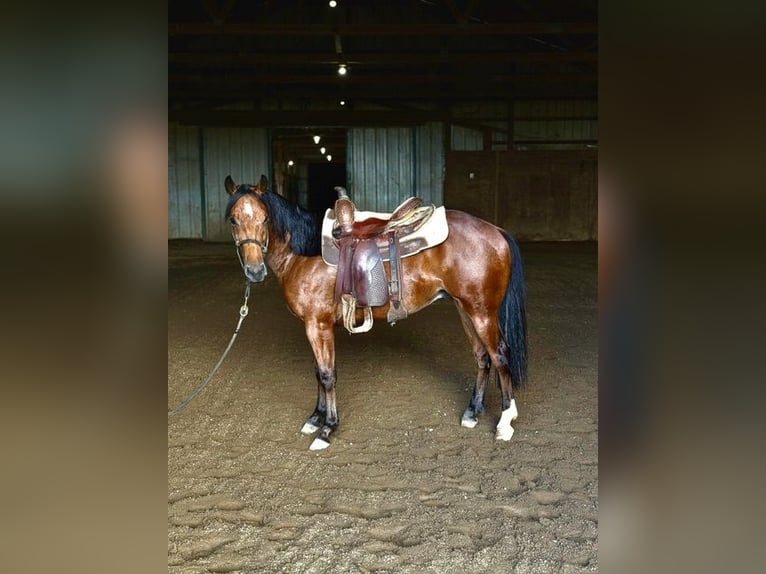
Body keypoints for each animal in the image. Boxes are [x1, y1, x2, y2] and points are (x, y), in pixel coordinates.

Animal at [223, 174, 527, 450]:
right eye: (233, 220)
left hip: (482, 313)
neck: (304, 253)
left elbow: (327, 374)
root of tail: (495, 231)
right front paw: (315, 418)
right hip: (464, 309)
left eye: (265, 218)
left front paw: (327, 429)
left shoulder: (318, 325)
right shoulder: (312, 325)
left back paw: (505, 422)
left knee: (500, 355)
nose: (255, 271)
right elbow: (317, 371)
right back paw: (473, 412)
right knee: (481, 357)